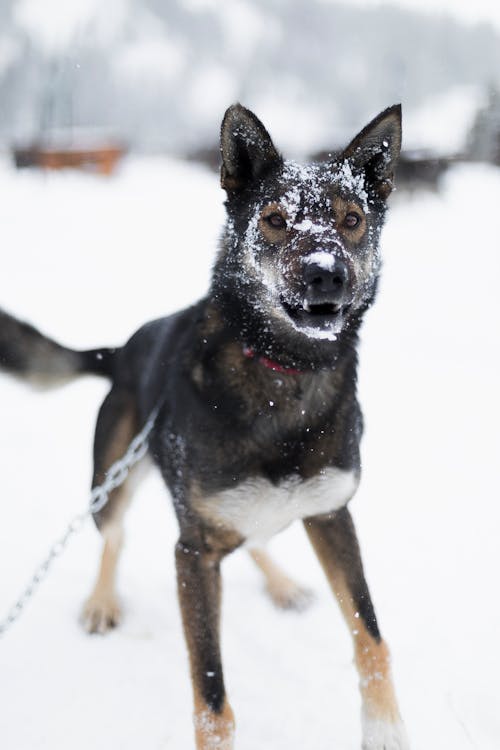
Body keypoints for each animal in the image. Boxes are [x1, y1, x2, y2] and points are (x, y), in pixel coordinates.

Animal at [0, 103, 410, 748]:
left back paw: (280, 583)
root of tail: (122, 349)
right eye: (274, 220)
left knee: (257, 537)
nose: (327, 275)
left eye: (352, 220)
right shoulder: (192, 553)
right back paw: (101, 602)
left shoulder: (331, 514)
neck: (282, 372)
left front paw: (385, 728)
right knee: (114, 538)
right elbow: (211, 693)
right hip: (112, 480)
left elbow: (371, 636)